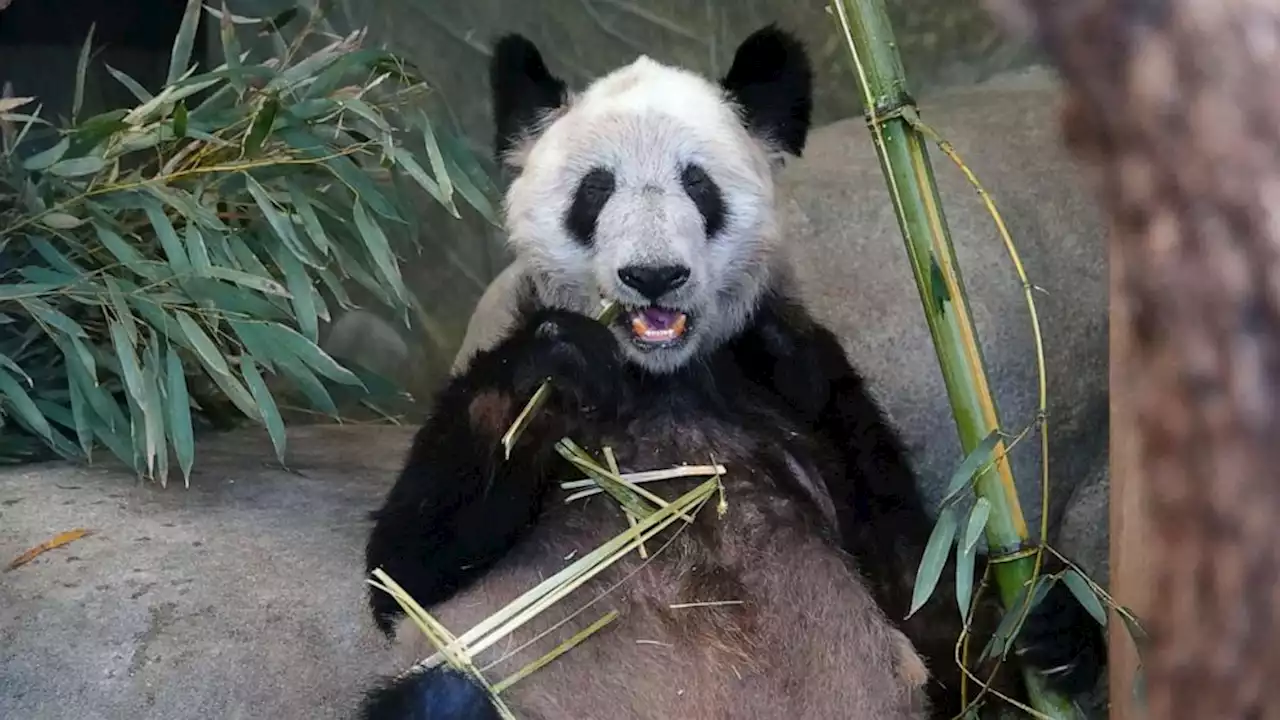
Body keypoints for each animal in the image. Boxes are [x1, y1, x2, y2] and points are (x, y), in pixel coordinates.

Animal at [355, 23, 1105, 717]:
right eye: (595, 190)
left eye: (697, 183)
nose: (653, 275)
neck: (661, 375)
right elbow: (407, 567)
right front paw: (557, 369)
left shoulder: (797, 383)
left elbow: (925, 592)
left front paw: (1053, 616)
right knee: (444, 697)